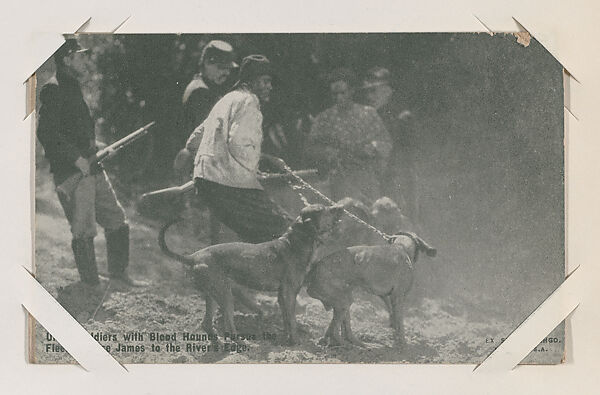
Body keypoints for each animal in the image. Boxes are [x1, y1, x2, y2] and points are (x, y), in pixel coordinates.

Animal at [161, 206, 342, 344]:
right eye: (323, 210)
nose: (340, 208)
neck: (294, 243)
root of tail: (193, 257)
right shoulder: (289, 292)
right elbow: (292, 320)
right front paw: (296, 342)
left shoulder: (282, 295)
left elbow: (286, 319)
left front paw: (285, 340)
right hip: (226, 296)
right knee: (229, 327)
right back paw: (241, 343)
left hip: (213, 294)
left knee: (206, 323)